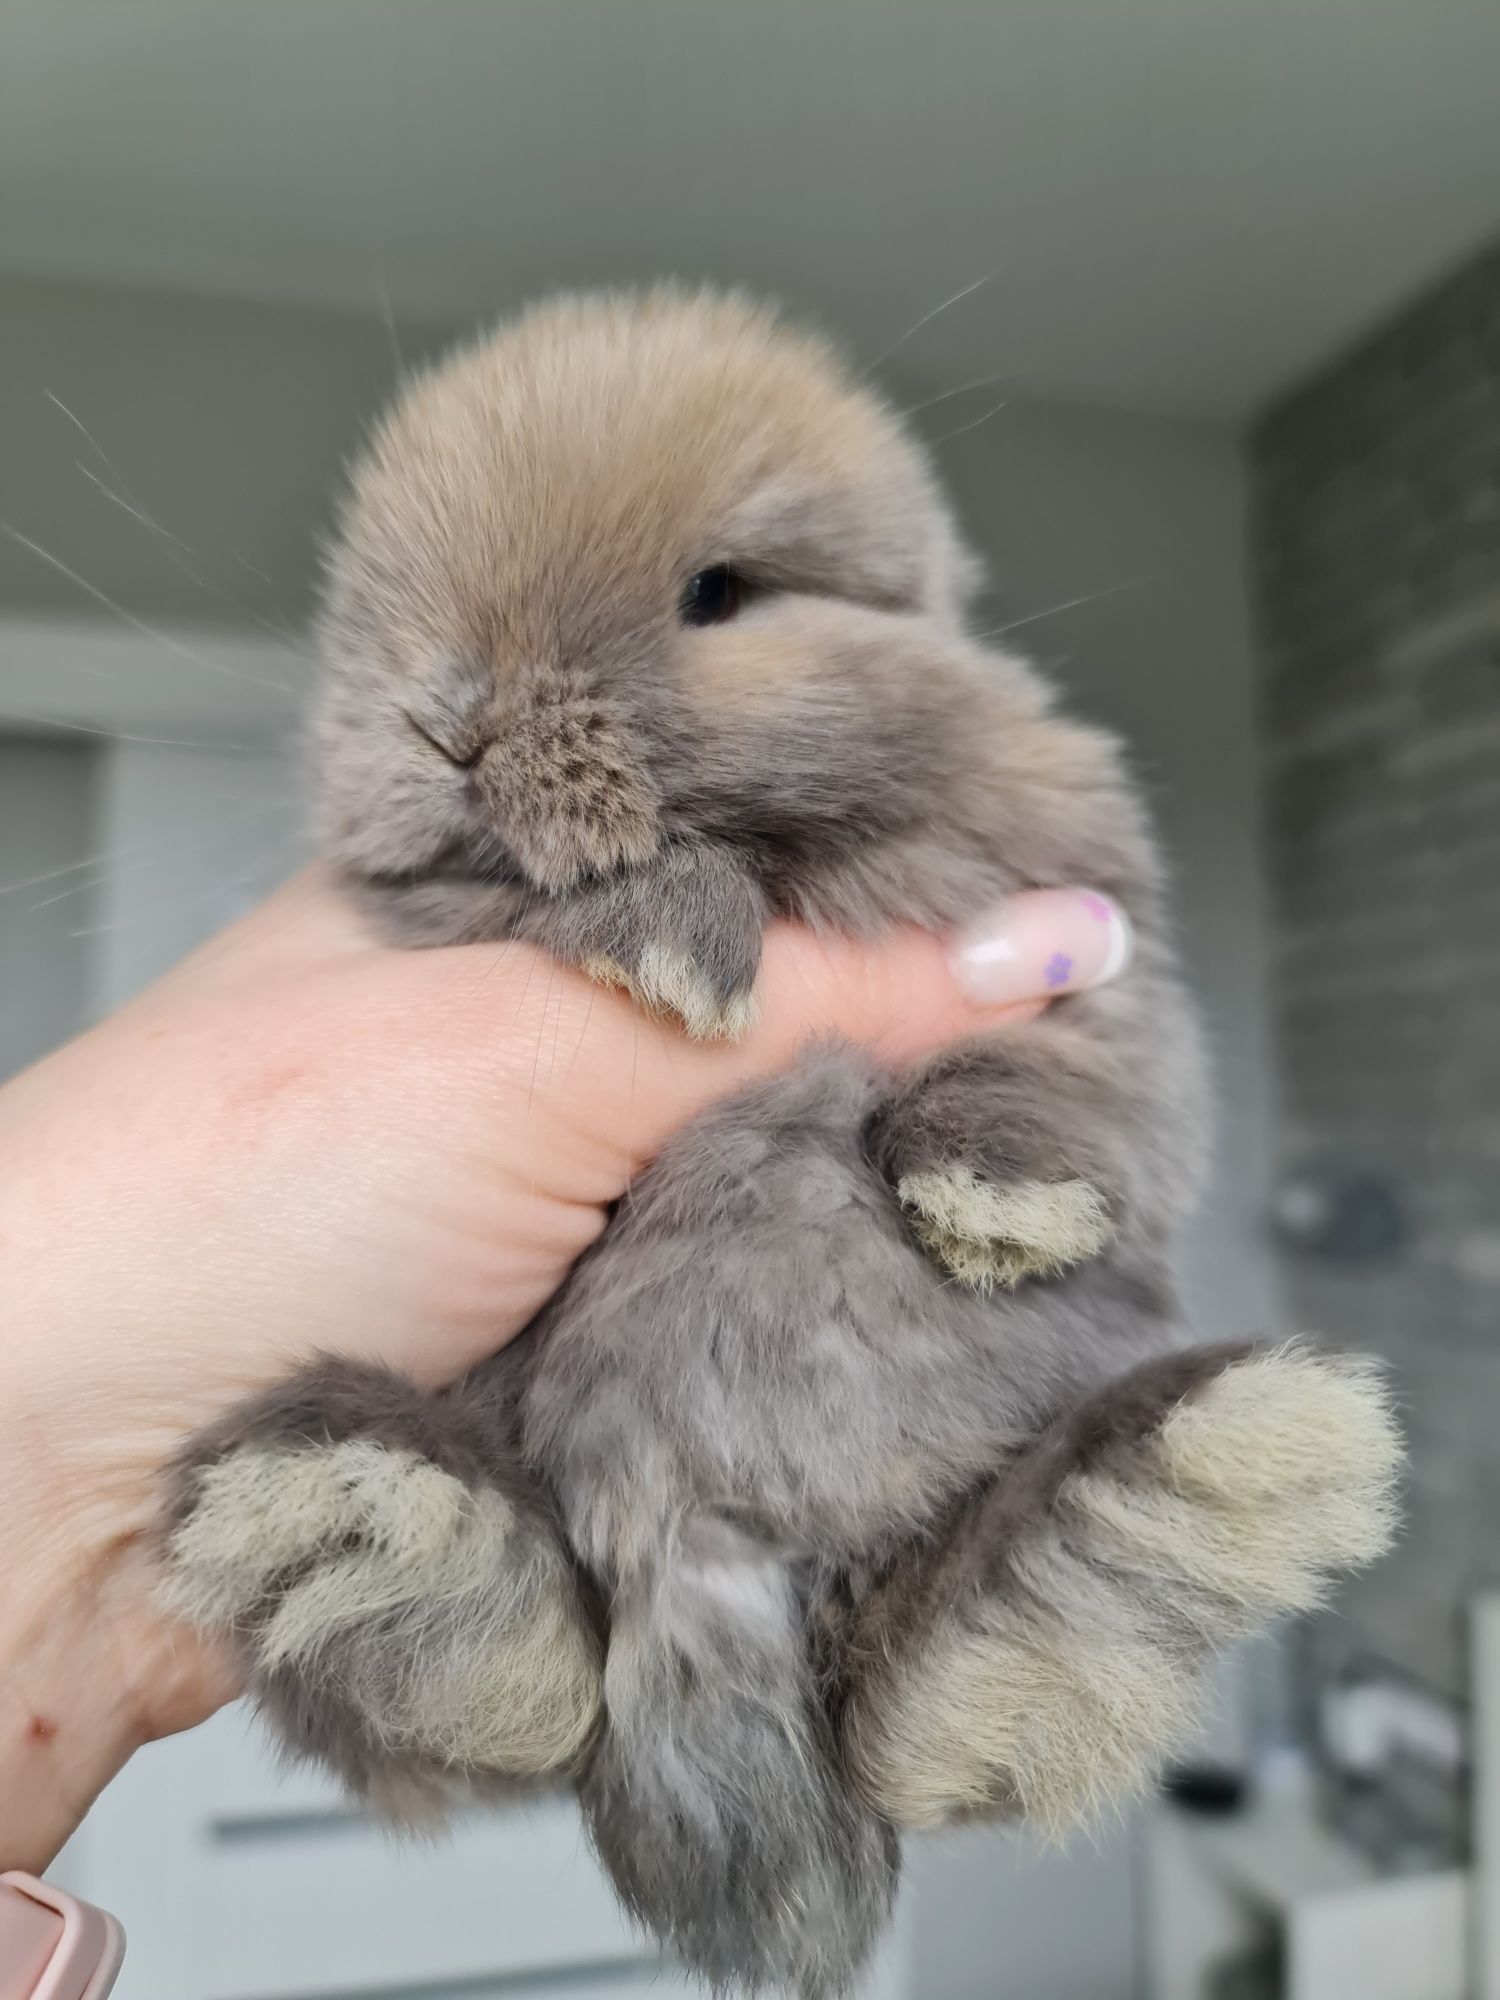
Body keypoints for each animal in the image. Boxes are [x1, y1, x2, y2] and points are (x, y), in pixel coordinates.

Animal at [162, 290, 1400, 1992]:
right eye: (370, 609)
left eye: (720, 593)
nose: (442, 719)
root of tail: (710, 1559)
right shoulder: (418, 936)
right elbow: (525, 908)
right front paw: (672, 941)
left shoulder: (1095, 958)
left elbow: (1064, 1075)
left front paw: (998, 1204)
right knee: (510, 1716)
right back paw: (388, 1531)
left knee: (900, 1708)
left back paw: (1146, 1513)